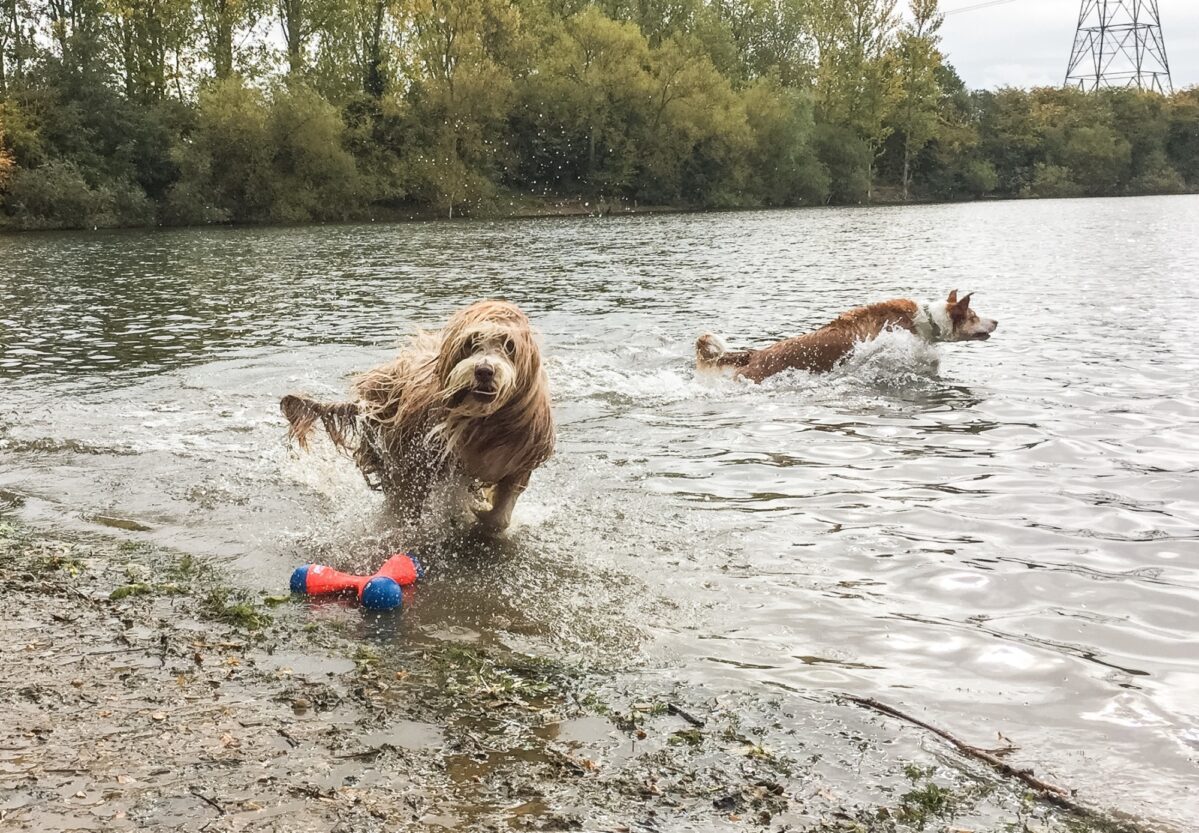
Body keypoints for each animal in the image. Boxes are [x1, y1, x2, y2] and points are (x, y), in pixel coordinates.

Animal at [281, 300, 556, 534]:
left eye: (509, 346)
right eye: (470, 344)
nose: (484, 371)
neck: (485, 420)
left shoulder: (519, 460)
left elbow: (501, 515)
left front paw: (482, 515)